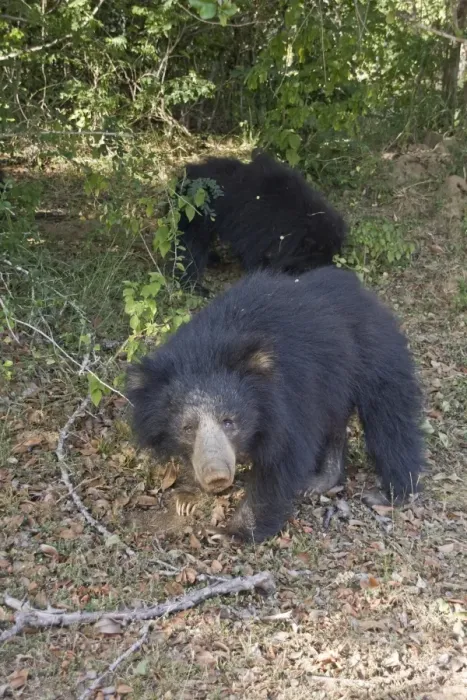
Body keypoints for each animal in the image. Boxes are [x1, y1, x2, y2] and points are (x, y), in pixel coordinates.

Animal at [127, 267, 424, 543]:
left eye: (228, 421)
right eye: (188, 428)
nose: (217, 476)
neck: (207, 349)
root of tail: (359, 290)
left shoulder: (289, 397)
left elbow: (281, 461)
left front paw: (230, 531)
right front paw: (186, 500)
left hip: (374, 354)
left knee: (390, 419)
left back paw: (390, 492)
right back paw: (322, 480)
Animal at [175, 150, 348, 295]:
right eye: (313, 265)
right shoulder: (258, 229)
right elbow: (257, 259)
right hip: (196, 214)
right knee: (191, 247)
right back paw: (197, 287)